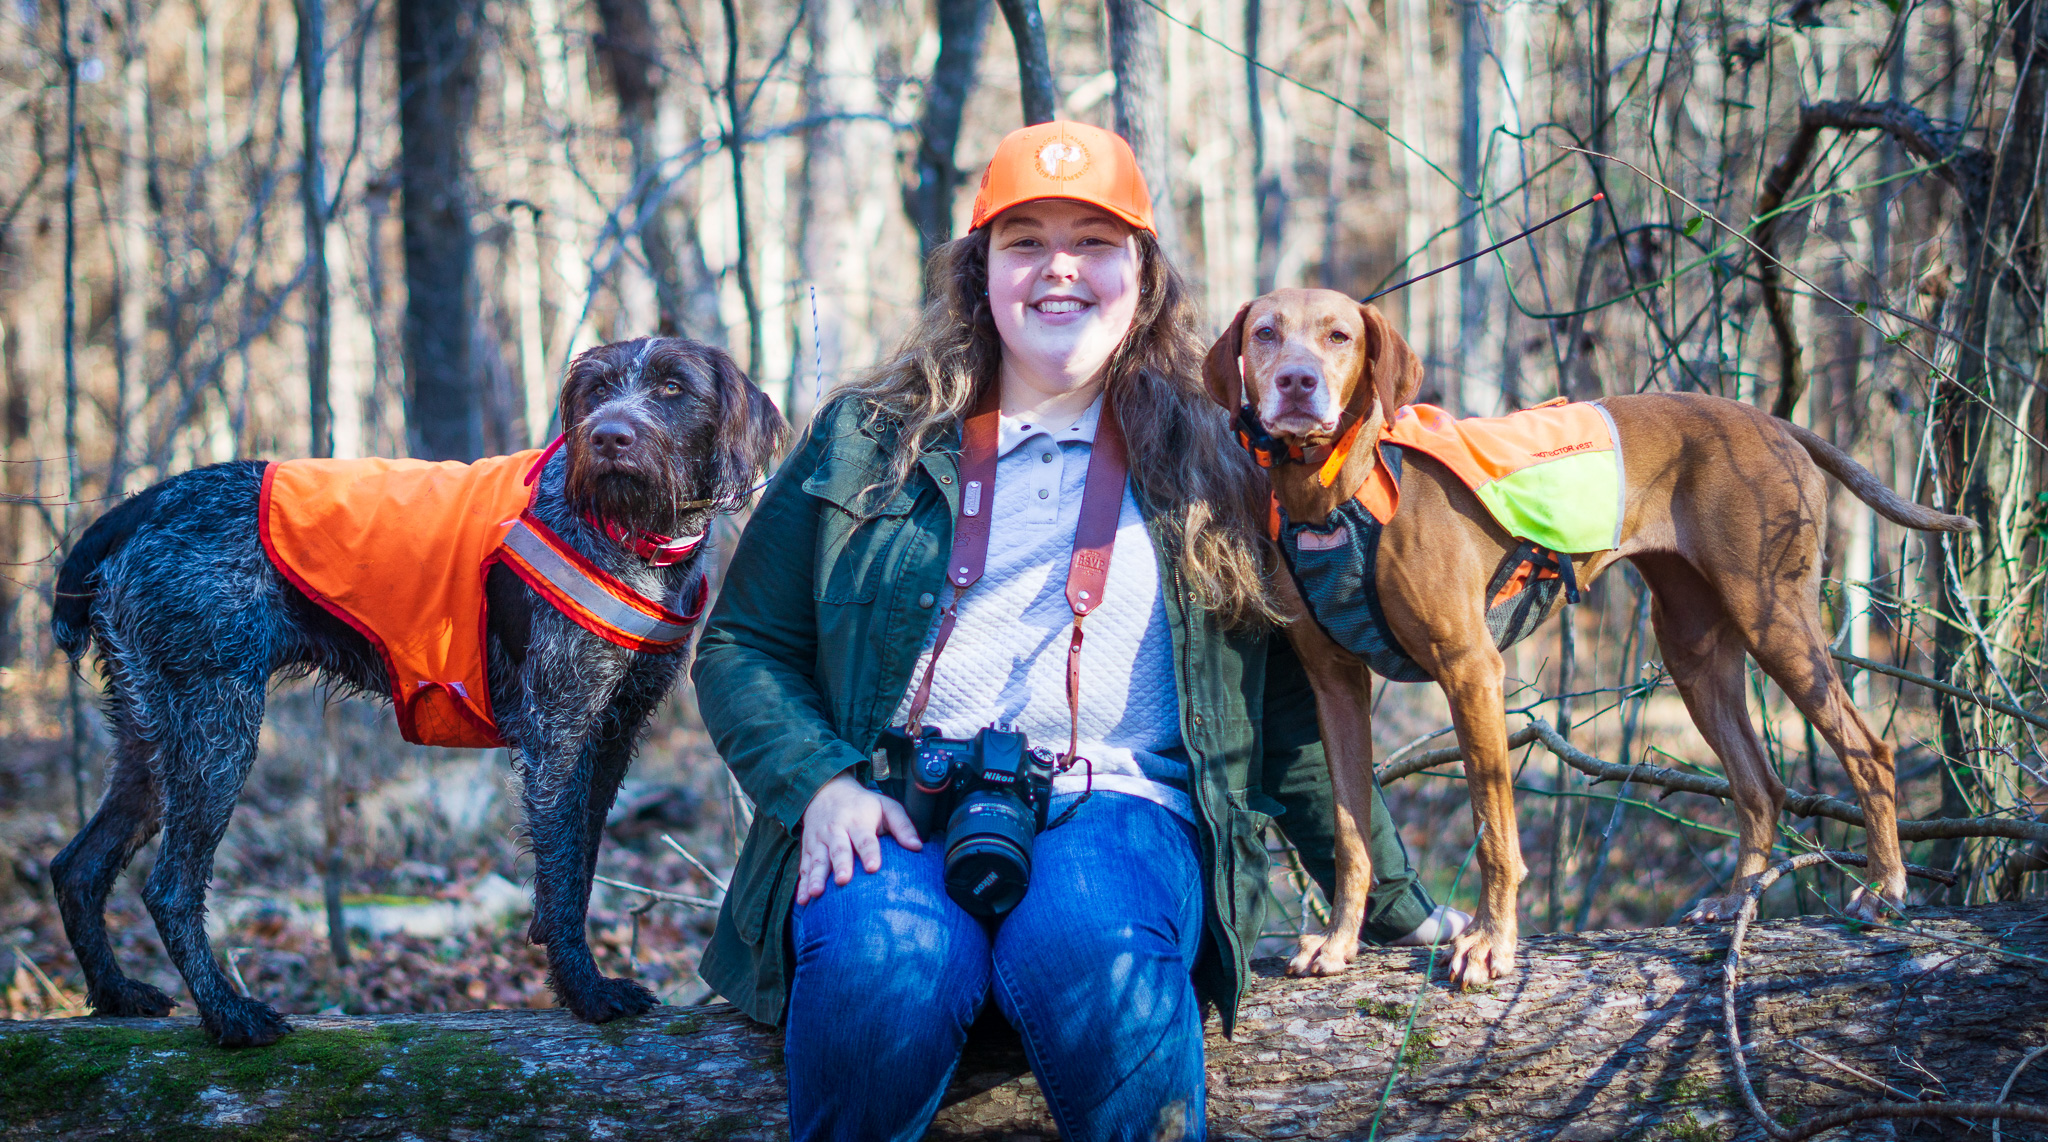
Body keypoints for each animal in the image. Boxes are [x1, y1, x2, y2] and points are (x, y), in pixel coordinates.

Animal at [49, 337, 782, 1047]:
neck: (631, 535)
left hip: (152, 731)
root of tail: (140, 506)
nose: (607, 436)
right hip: (214, 726)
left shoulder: (611, 735)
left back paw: (116, 995)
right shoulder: (558, 731)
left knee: (77, 867)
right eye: (598, 389)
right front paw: (584, 990)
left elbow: (580, 864)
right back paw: (229, 1015)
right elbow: (562, 871)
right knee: (169, 888)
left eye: (672, 387)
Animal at [1204, 288, 1974, 994]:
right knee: (1760, 783)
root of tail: (1775, 421)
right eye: (1266, 333)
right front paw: (1339, 942)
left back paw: (1884, 889)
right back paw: (1735, 900)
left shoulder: (1470, 669)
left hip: (1771, 612)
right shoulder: (1335, 684)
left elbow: (1495, 832)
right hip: (1693, 651)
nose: (1296, 383)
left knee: (1869, 753)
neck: (1336, 490)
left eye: (1338, 336)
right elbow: (1350, 832)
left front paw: (1490, 944)